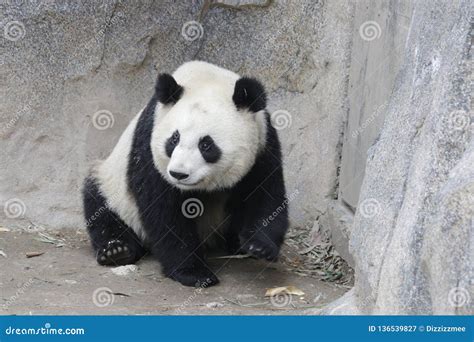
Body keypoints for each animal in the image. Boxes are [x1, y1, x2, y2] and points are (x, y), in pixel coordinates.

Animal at [83, 61, 286, 286]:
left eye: (206, 144)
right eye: (174, 139)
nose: (178, 174)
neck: (206, 80)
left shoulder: (263, 142)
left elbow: (265, 193)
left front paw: (259, 246)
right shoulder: (149, 143)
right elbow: (163, 211)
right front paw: (194, 272)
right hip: (113, 184)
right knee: (99, 204)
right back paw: (116, 250)